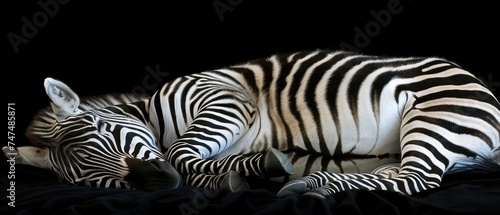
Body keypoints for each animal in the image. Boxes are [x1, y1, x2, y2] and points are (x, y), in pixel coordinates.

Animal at [4, 49, 500, 197]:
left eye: (107, 132)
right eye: (97, 183)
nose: (157, 183)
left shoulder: (226, 101)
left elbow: (180, 155)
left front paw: (254, 171)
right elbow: (193, 163)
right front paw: (252, 170)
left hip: (434, 113)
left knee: (416, 179)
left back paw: (312, 186)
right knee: (399, 173)